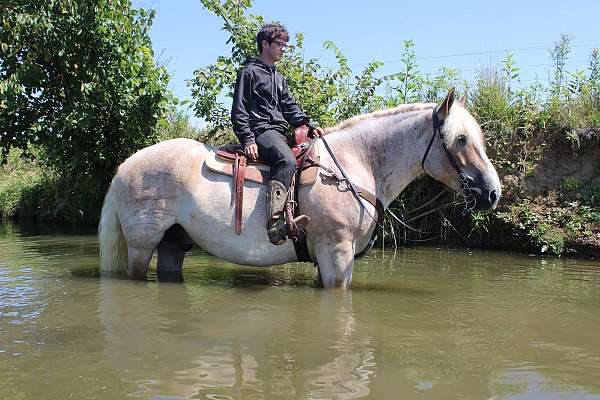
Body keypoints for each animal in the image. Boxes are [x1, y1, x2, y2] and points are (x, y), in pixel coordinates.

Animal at [99, 88, 502, 288]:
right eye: (461, 139)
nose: (492, 192)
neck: (353, 164)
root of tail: (123, 168)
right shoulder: (336, 254)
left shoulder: (329, 259)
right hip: (142, 245)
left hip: (173, 243)